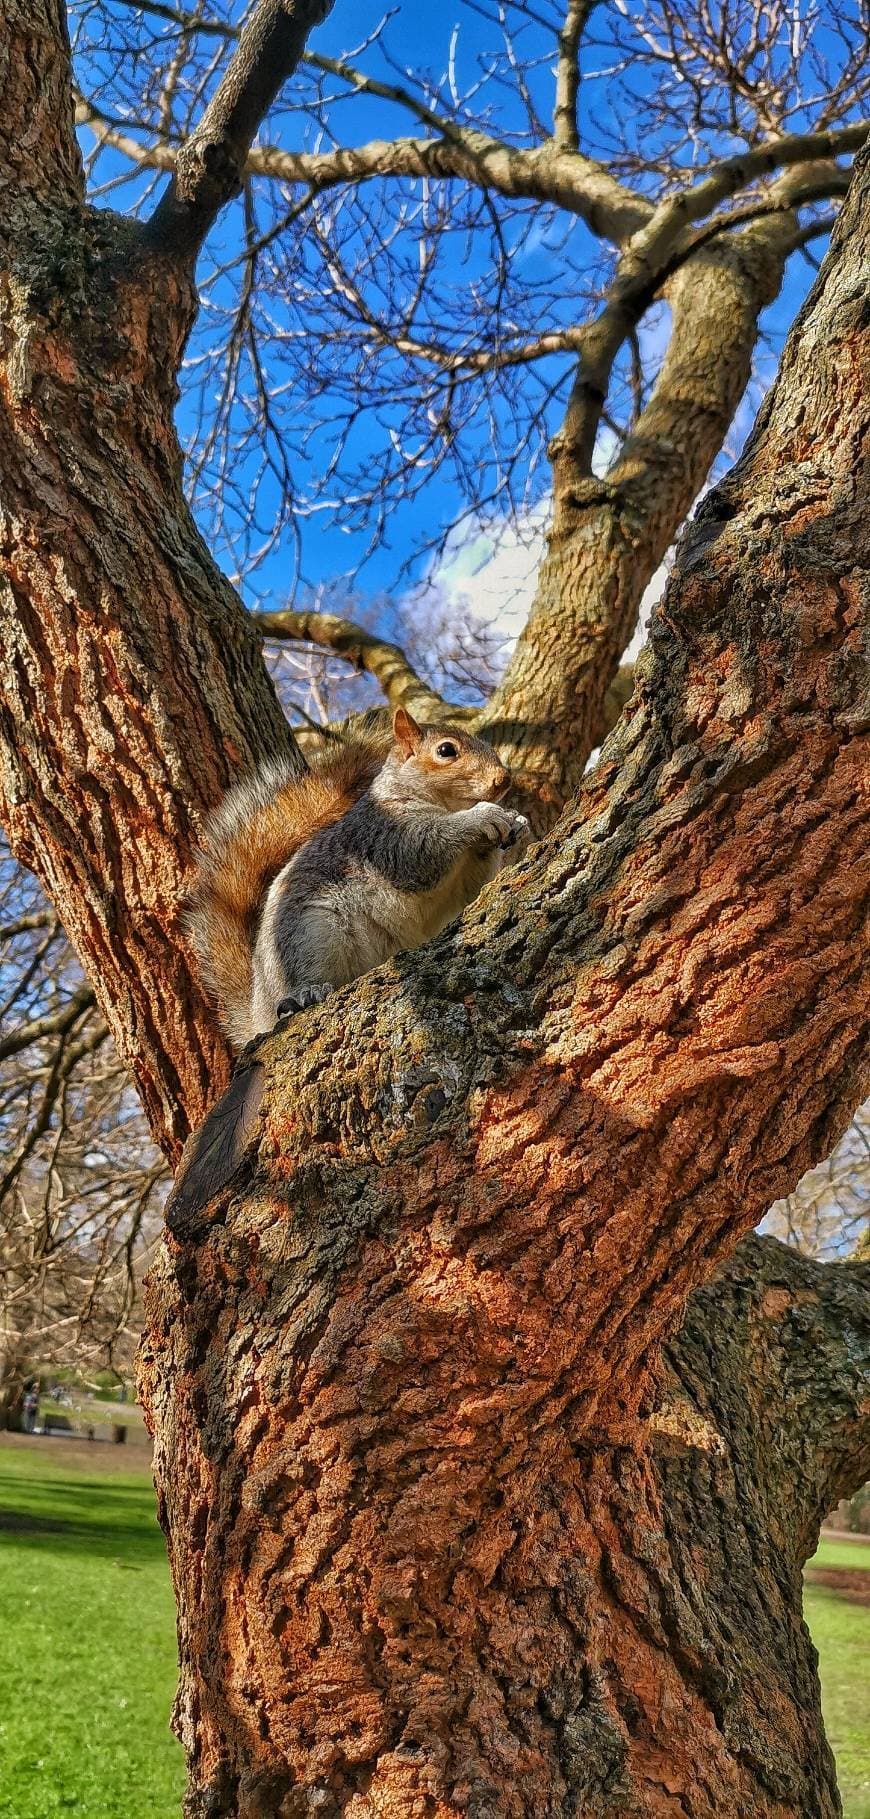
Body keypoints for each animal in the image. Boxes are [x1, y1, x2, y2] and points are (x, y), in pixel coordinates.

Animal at [188, 709, 531, 1055]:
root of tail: (258, 1010)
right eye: (446, 750)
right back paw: (305, 994)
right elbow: (422, 851)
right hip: (310, 933)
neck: (444, 805)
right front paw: (483, 816)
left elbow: (471, 889)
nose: (503, 779)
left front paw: (515, 822)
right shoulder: (383, 834)